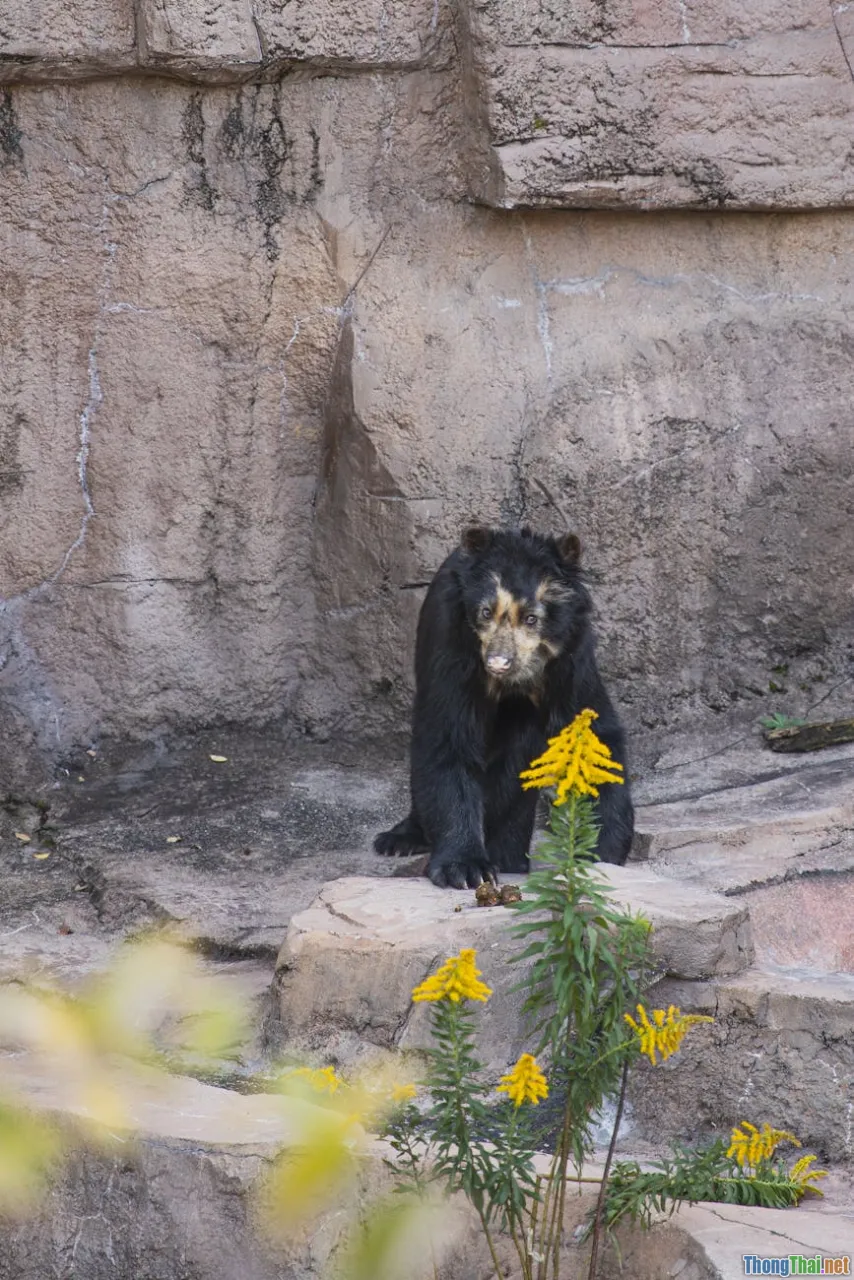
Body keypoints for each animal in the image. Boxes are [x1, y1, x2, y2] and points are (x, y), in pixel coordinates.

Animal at [374, 525, 634, 889]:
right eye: (486, 612)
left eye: (531, 618)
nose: (498, 661)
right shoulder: (452, 648)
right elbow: (447, 739)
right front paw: (466, 868)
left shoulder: (571, 660)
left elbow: (595, 736)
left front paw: (602, 849)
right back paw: (398, 839)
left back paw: (510, 857)